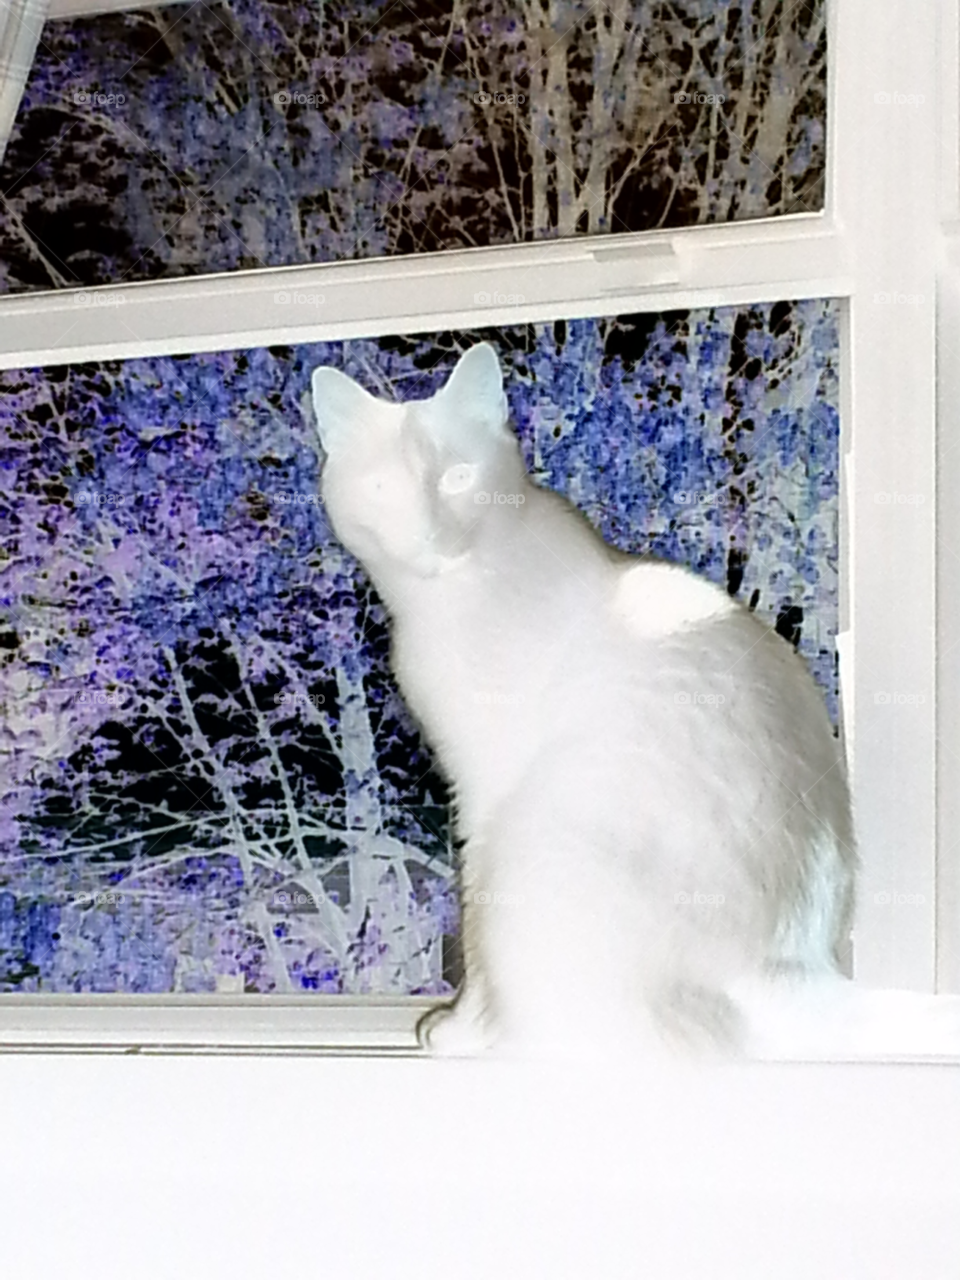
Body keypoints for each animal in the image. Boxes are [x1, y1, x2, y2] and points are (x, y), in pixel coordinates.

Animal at [313, 340, 960, 1059]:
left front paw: (463, 1028)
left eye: (456, 477)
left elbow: (474, 925)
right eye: (382, 489)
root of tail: (795, 969)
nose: (428, 533)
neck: (451, 592)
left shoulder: (482, 791)